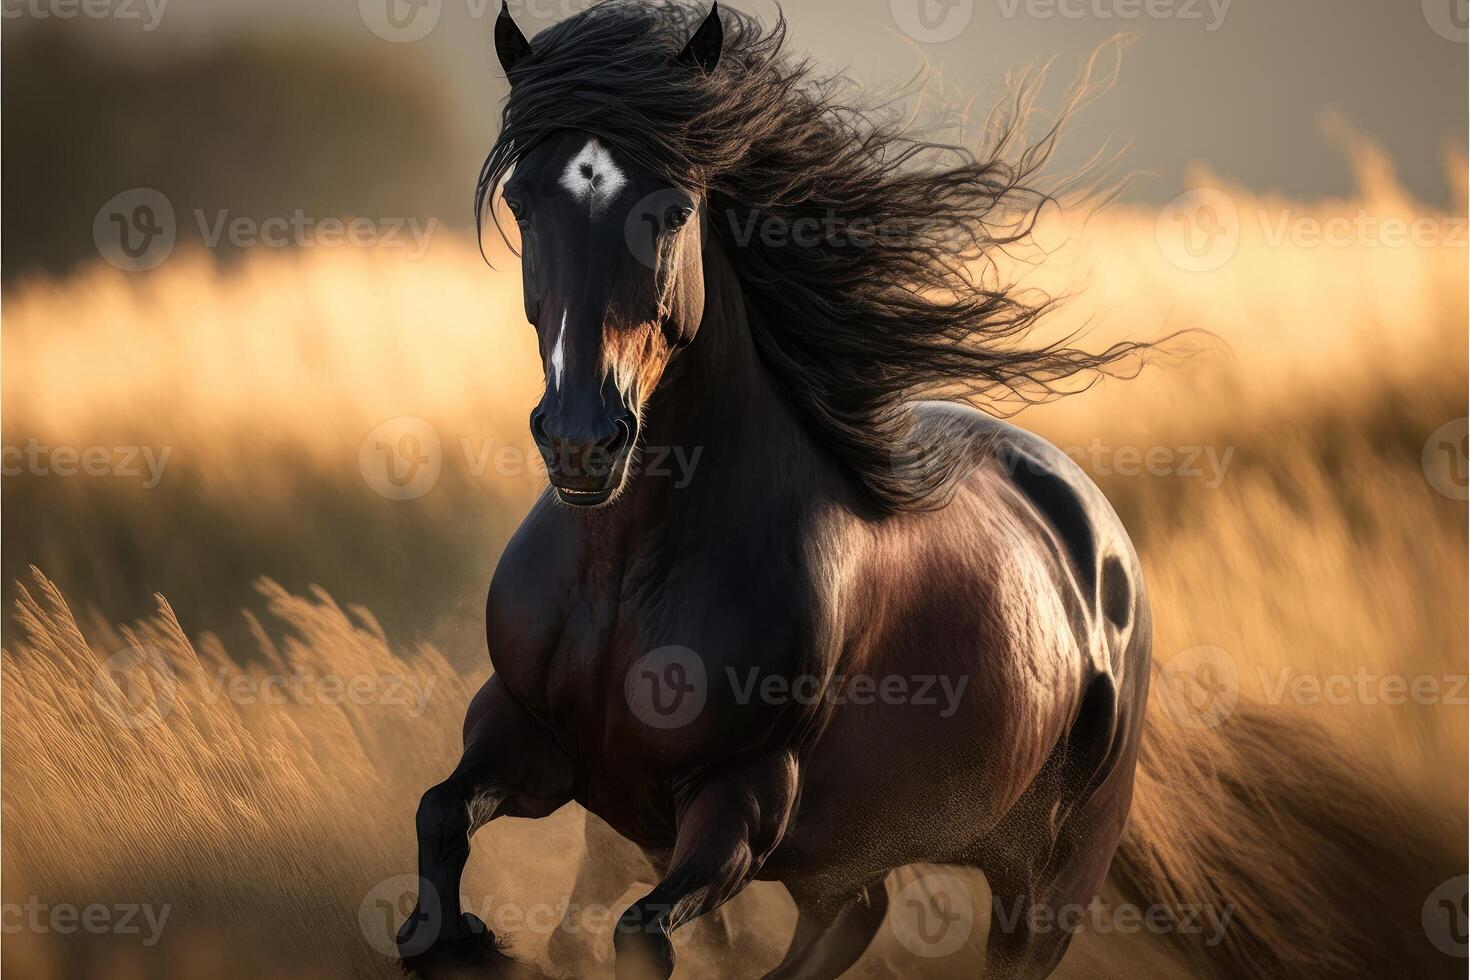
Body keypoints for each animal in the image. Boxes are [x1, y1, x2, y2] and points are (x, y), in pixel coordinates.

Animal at [396, 3, 1160, 977]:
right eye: (522, 201)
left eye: (675, 209)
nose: (581, 443)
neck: (632, 564)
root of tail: (1100, 539)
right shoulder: (529, 736)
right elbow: (440, 816)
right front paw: (456, 939)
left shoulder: (741, 802)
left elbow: (641, 936)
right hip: (836, 859)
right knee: (851, 915)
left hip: (1047, 883)